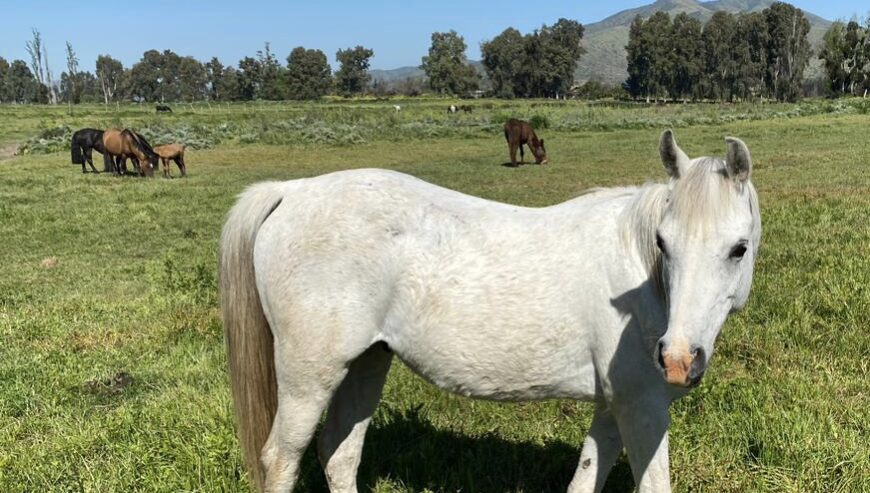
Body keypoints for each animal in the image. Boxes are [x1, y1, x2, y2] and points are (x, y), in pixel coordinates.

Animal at [220, 131, 764, 492]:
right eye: (663, 243)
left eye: (738, 248)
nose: (677, 359)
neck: (641, 282)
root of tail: (292, 190)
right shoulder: (642, 407)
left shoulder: (615, 405)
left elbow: (585, 477)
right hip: (309, 377)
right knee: (281, 459)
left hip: (366, 363)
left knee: (338, 454)